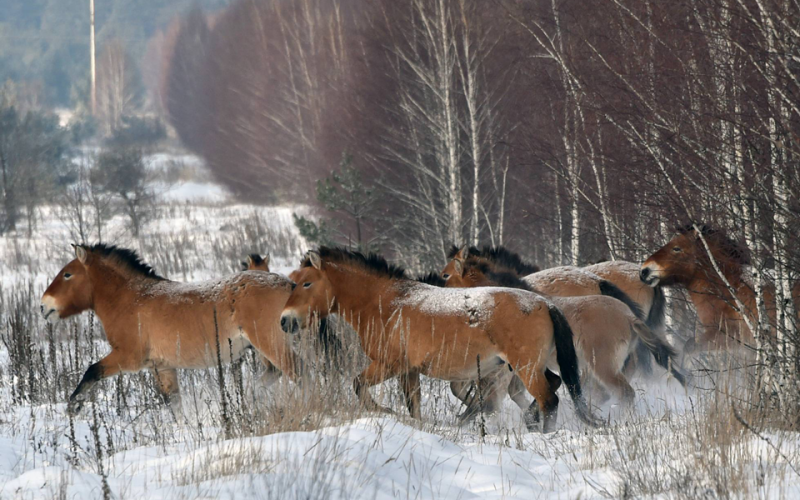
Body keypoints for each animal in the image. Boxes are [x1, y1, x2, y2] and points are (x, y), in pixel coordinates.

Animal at [39, 244, 300, 416]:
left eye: (67, 274)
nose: (43, 306)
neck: (130, 299)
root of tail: (290, 286)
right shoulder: (162, 368)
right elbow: (173, 404)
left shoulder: (128, 358)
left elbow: (92, 371)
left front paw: (74, 406)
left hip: (270, 344)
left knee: (298, 373)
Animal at [278, 247, 596, 434]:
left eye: (306, 283)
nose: (285, 320)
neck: (384, 303)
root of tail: (545, 304)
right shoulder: (408, 371)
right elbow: (413, 405)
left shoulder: (388, 365)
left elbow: (358, 386)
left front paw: (384, 411)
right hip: (529, 367)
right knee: (553, 385)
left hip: (526, 368)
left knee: (548, 399)